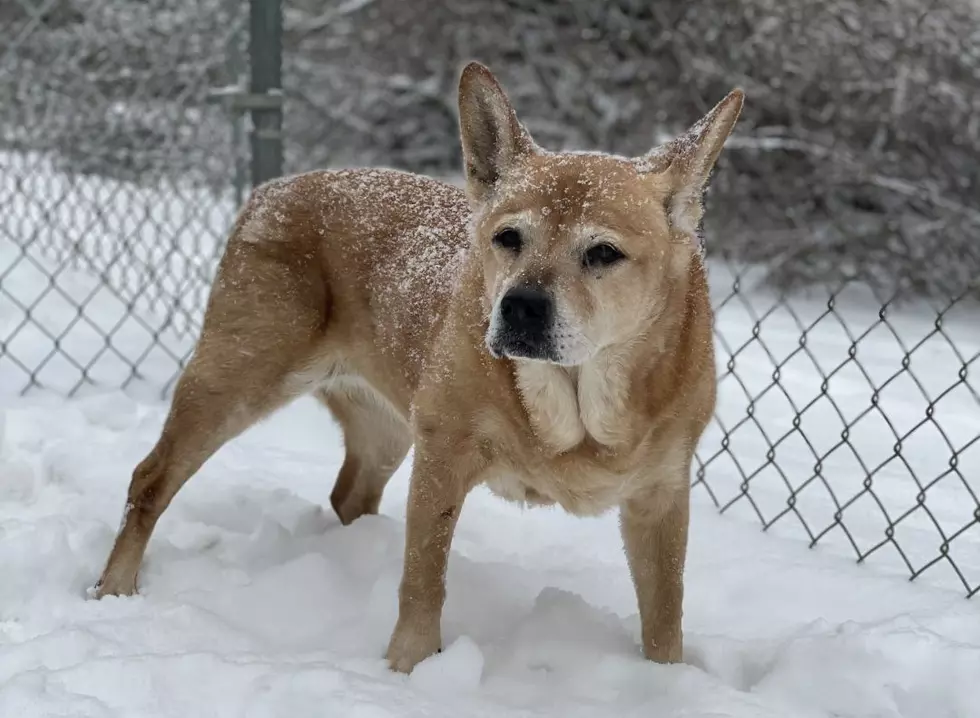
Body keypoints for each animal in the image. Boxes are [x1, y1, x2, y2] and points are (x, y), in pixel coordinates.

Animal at [94, 62, 744, 676]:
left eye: (603, 253)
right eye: (508, 237)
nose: (519, 306)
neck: (575, 403)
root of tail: (273, 188)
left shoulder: (662, 496)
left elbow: (665, 616)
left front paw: (666, 684)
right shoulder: (442, 457)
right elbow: (423, 583)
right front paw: (407, 671)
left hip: (384, 429)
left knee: (348, 494)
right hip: (236, 377)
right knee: (149, 479)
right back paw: (113, 589)